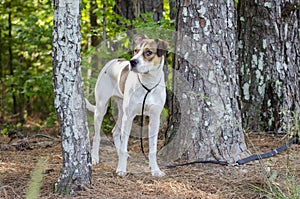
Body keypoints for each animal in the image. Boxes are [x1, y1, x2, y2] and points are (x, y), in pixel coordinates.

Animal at [86, 35, 169, 176]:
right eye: (135, 50)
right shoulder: (129, 117)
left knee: (115, 131)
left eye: (148, 52)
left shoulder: (155, 118)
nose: (132, 62)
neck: (148, 83)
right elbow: (124, 145)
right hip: (102, 108)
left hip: (121, 112)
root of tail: (113, 61)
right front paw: (121, 169)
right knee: (97, 136)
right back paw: (95, 158)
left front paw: (155, 170)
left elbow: (152, 149)